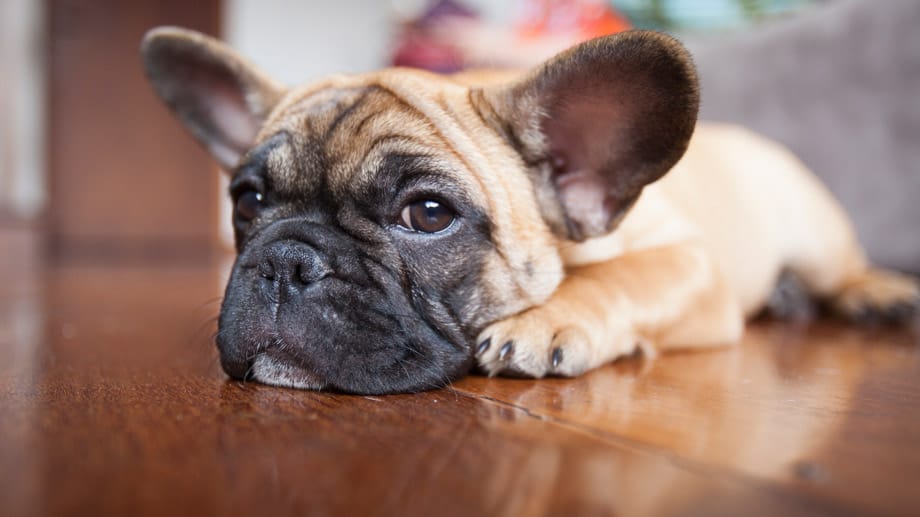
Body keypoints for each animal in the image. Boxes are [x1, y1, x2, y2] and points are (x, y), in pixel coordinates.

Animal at [140, 26, 916, 394]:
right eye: (248, 199)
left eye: (428, 214)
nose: (286, 259)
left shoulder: (693, 264)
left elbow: (622, 276)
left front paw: (545, 319)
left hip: (814, 232)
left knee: (842, 268)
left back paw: (876, 292)